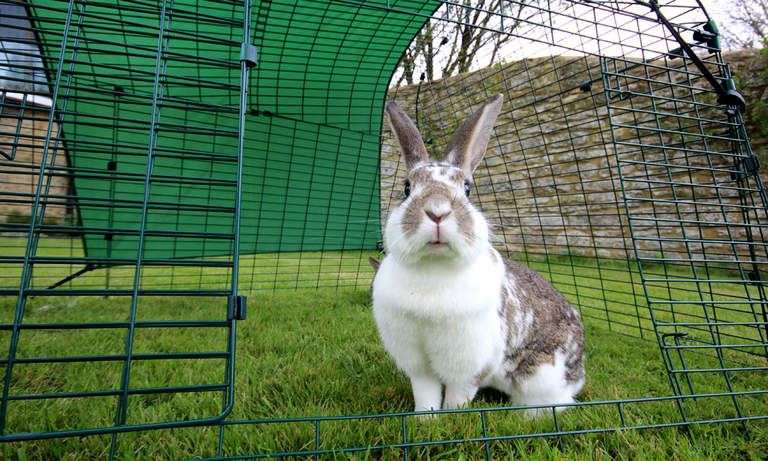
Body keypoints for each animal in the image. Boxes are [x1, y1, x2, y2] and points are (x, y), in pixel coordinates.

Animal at [371, 93, 585, 418]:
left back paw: (525, 417)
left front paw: (453, 417)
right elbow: (425, 392)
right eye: (406, 188)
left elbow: (458, 394)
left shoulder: (470, 362)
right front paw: (425, 420)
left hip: (541, 377)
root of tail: (580, 371)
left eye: (467, 189)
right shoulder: (417, 363)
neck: (433, 269)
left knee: (557, 403)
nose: (437, 211)